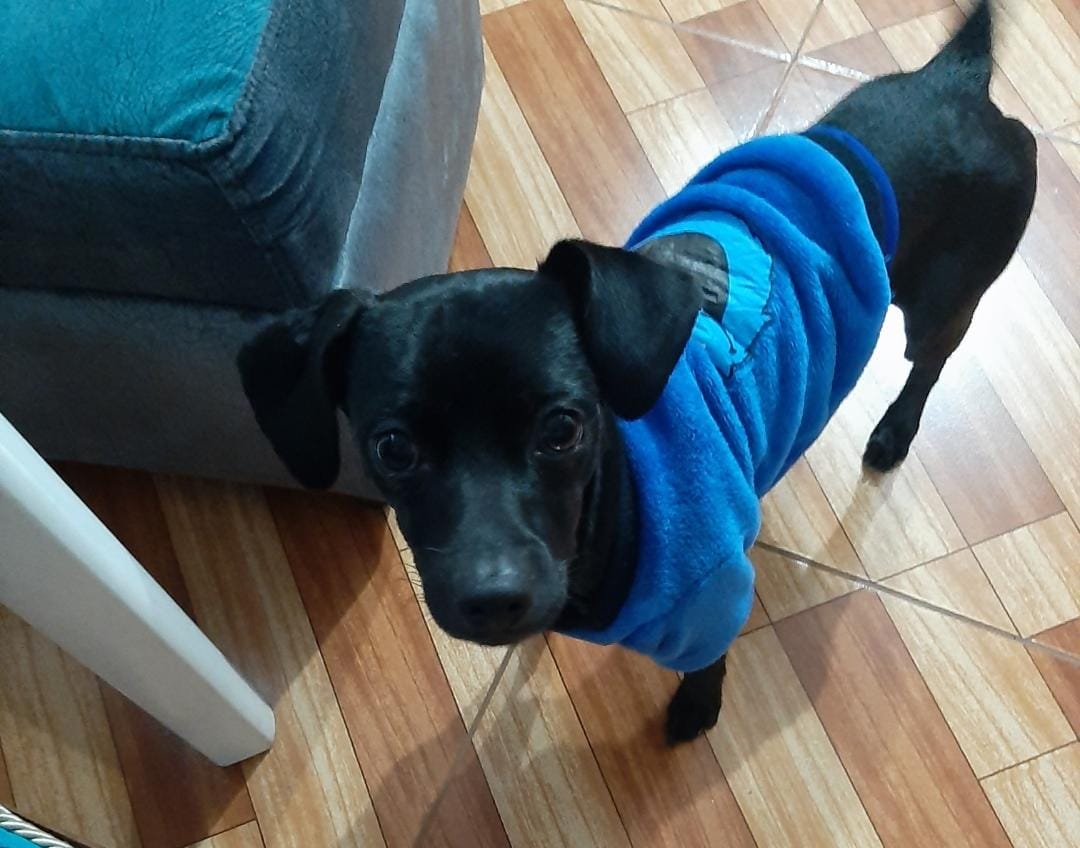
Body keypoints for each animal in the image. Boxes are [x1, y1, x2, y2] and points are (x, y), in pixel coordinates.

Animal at [239, 0, 1036, 745]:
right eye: (393, 449)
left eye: (564, 430)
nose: (494, 597)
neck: (614, 507)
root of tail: (953, 80)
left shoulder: (714, 600)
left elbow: (708, 663)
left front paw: (696, 709)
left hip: (944, 300)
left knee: (932, 362)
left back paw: (895, 431)